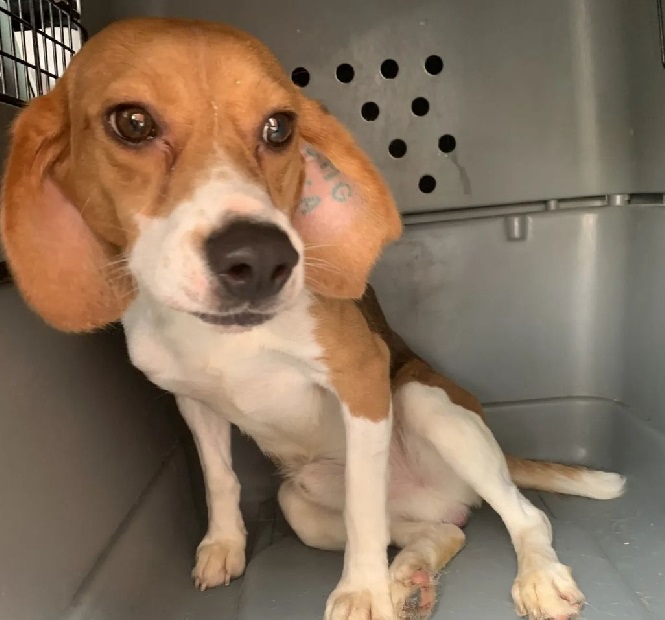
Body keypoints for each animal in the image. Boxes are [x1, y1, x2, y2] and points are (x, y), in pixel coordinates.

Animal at [1, 17, 624, 616]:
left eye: (279, 127)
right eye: (131, 123)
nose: (260, 258)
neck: (224, 337)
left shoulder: (363, 377)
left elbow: (362, 514)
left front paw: (362, 595)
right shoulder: (193, 402)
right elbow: (220, 478)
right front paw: (223, 545)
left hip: (425, 403)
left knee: (524, 517)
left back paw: (533, 578)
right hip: (298, 504)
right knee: (445, 530)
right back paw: (411, 578)